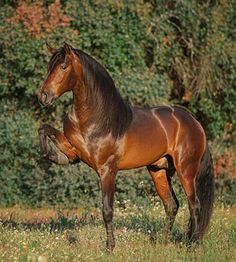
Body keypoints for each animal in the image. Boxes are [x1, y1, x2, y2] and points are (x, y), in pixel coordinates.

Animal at [36, 43, 214, 252]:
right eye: (49, 67)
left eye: (63, 66)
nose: (43, 96)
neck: (94, 117)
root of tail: (194, 122)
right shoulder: (74, 152)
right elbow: (44, 129)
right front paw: (50, 154)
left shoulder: (107, 170)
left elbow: (107, 210)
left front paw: (110, 247)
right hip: (159, 170)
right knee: (171, 205)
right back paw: (165, 243)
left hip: (186, 170)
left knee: (194, 206)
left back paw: (192, 245)